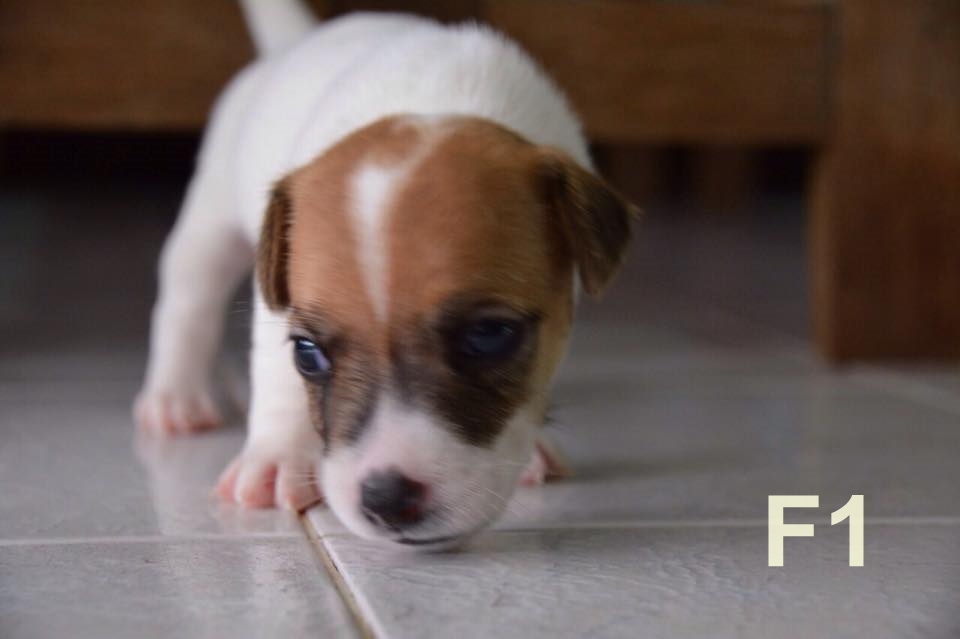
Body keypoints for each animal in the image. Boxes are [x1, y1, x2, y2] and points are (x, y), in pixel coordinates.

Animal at [135, 0, 636, 548]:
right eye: (308, 354)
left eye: (488, 335)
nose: (387, 500)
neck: (436, 96)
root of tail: (294, 43)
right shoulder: (278, 304)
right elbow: (275, 378)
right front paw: (276, 456)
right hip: (208, 230)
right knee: (187, 308)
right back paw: (174, 397)